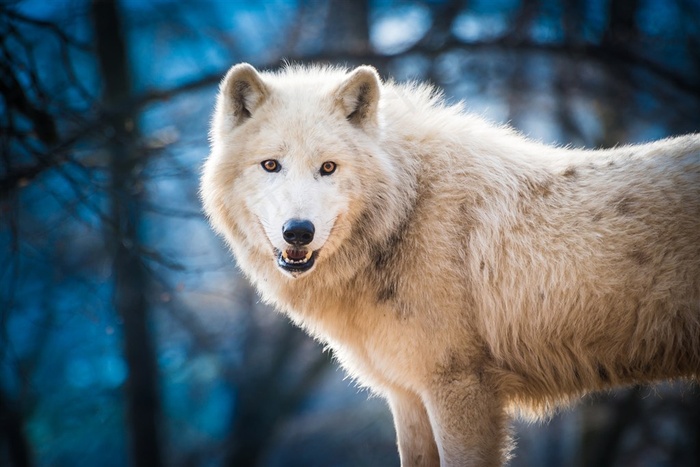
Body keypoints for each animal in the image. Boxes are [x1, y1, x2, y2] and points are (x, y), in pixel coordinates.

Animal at [202, 63, 700, 467]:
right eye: (271, 165)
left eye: (328, 167)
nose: (298, 232)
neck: (407, 210)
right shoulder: (407, 396)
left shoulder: (461, 387)